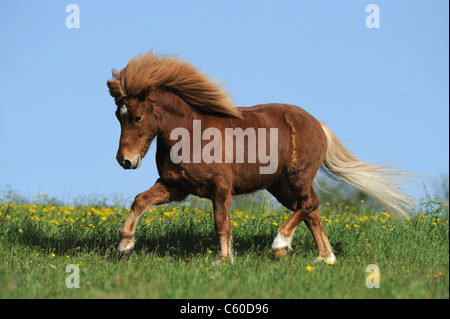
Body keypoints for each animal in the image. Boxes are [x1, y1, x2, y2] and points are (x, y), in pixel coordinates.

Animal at [106, 51, 414, 264]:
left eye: (137, 117)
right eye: (118, 116)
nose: (125, 161)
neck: (191, 135)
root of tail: (318, 124)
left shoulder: (221, 186)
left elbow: (222, 223)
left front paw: (224, 261)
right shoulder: (175, 186)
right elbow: (140, 200)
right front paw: (124, 247)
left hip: (297, 178)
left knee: (310, 205)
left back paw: (280, 245)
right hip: (281, 187)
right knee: (311, 211)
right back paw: (325, 258)